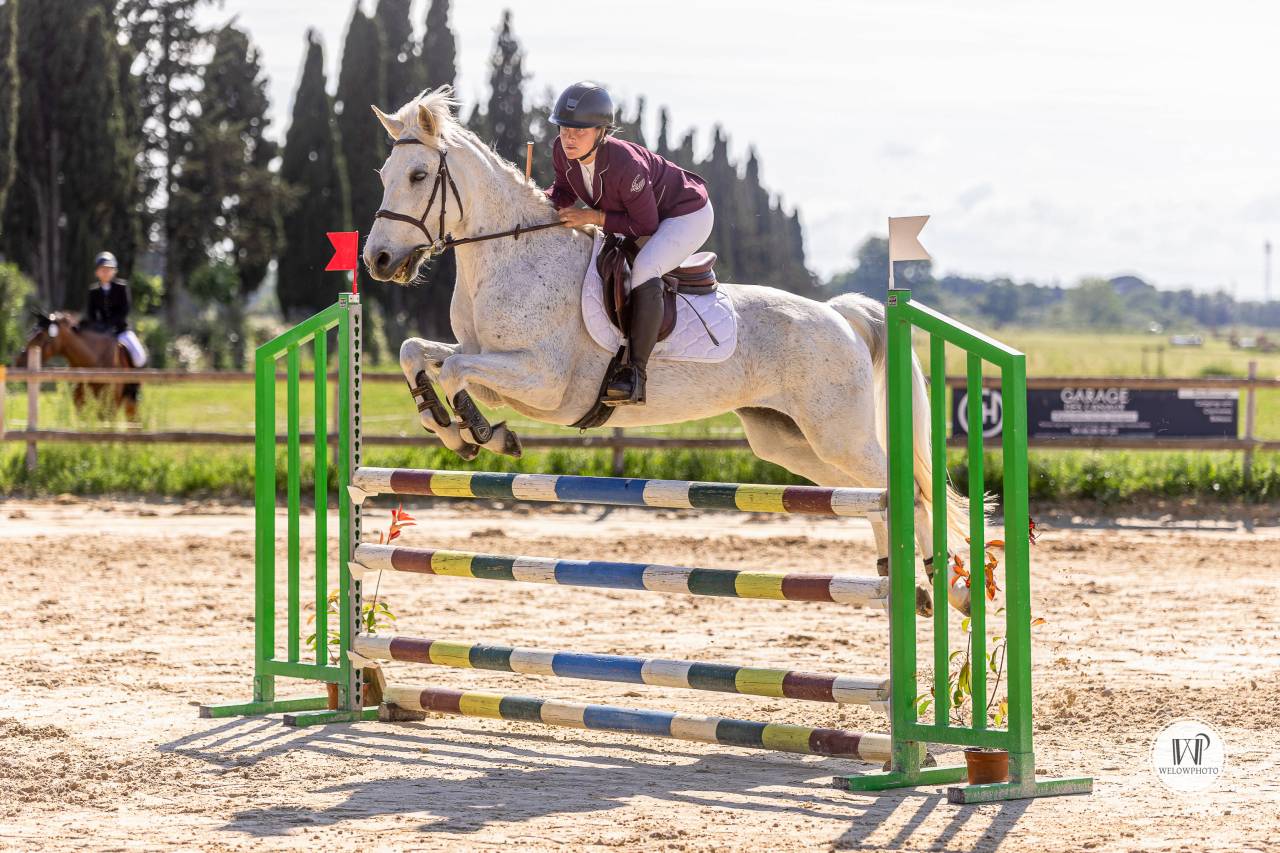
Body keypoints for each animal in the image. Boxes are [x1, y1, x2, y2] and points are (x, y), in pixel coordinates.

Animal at [361, 88, 973, 614]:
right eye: (384, 176)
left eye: (418, 175)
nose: (378, 261)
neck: (509, 257)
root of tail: (839, 316)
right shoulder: (487, 359)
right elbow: (419, 352)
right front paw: (448, 429)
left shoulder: (544, 382)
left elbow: (457, 370)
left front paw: (483, 433)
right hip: (790, 441)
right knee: (873, 491)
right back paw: (904, 582)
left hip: (836, 432)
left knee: (906, 489)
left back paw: (947, 586)